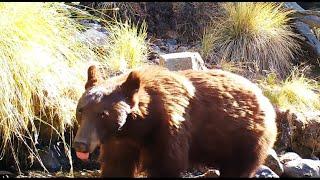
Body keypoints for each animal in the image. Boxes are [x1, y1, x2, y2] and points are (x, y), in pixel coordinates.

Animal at [72, 64, 278, 177]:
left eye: (103, 114)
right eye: (81, 110)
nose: (80, 144)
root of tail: (265, 99)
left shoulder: (168, 131)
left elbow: (165, 165)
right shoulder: (120, 142)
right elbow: (116, 167)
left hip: (247, 140)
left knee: (238, 169)